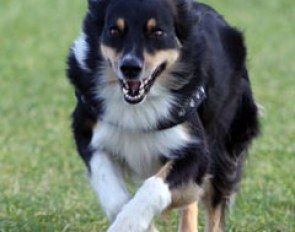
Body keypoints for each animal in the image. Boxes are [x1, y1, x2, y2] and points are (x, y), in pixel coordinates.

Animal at [66, 0, 260, 232]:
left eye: (157, 32)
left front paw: (129, 222)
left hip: (225, 145)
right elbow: (114, 197)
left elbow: (154, 186)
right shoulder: (89, 136)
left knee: (214, 212)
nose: (129, 67)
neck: (138, 105)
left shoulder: (197, 151)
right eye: (114, 30)